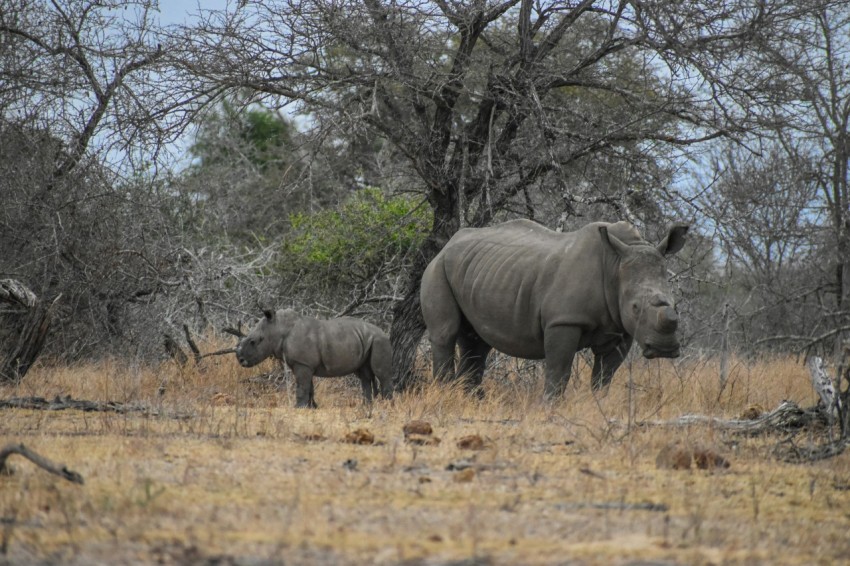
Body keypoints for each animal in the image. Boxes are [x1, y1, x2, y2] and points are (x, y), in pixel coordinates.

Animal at [232, 310, 390, 408]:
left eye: (253, 342)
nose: (240, 360)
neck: (278, 329)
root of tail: (383, 332)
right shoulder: (305, 364)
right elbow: (309, 387)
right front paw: (312, 407)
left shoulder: (302, 364)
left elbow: (302, 386)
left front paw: (298, 407)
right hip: (365, 340)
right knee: (364, 375)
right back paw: (366, 406)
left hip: (379, 340)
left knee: (381, 374)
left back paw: (388, 404)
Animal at [420, 220, 684, 402]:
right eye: (635, 307)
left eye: (675, 304)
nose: (665, 349)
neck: (615, 266)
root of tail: (448, 244)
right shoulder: (563, 321)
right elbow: (559, 369)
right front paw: (550, 407)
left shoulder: (619, 329)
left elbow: (604, 375)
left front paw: (599, 404)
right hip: (437, 268)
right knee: (446, 333)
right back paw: (444, 395)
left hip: (477, 271)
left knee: (476, 342)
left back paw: (473, 401)